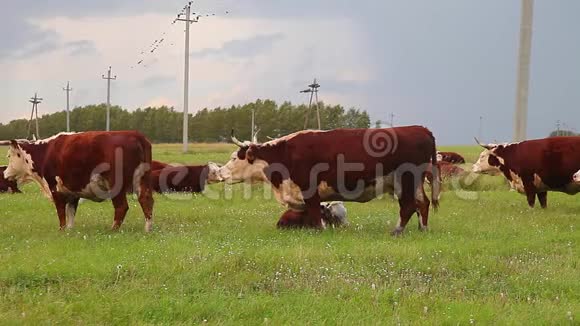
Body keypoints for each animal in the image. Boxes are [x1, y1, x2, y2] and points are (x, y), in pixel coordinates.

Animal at [1, 131, 154, 230]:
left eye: (9, 156)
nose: (5, 174)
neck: (45, 153)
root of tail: (135, 135)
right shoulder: (72, 191)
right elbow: (71, 212)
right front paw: (70, 230)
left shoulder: (55, 188)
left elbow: (61, 212)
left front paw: (62, 230)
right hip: (142, 180)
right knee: (146, 200)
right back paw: (147, 228)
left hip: (116, 184)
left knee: (121, 206)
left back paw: (113, 229)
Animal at [218, 126, 440, 236]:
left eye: (234, 157)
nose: (220, 172)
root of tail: (421, 129)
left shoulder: (309, 190)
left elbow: (316, 213)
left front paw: (321, 230)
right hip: (415, 183)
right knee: (423, 203)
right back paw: (423, 229)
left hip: (405, 181)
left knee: (408, 206)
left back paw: (397, 231)